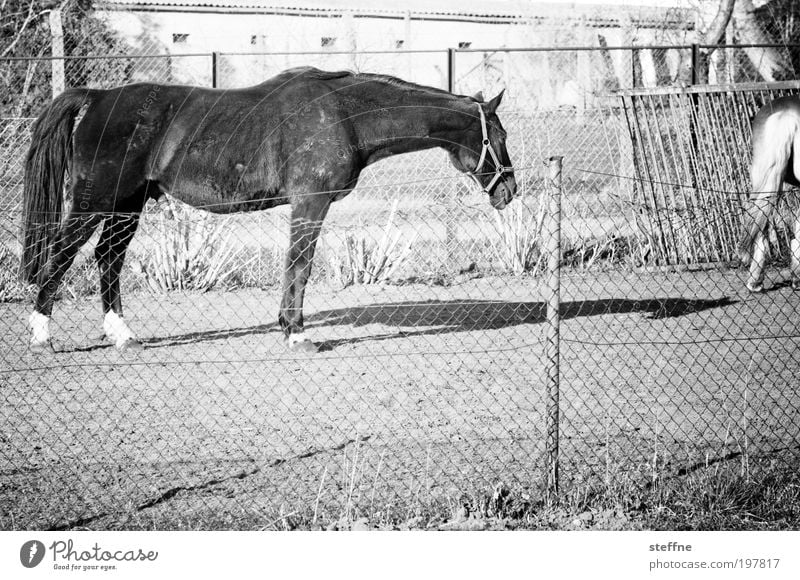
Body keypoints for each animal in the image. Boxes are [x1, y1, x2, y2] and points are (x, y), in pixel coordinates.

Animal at [23, 65, 520, 352]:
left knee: (108, 258)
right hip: (94, 203)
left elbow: (296, 264)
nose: (510, 190)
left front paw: (288, 327)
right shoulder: (310, 204)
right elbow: (300, 264)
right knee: (62, 255)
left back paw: (123, 337)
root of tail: (97, 98)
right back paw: (42, 337)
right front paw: (296, 333)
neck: (343, 114)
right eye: (499, 135)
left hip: (127, 205)